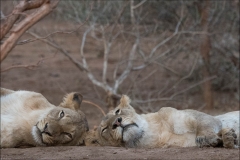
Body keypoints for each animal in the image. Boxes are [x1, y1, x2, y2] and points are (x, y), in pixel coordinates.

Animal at [85, 95, 239, 149]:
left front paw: (210, 136)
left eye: (117, 111)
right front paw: (228, 138)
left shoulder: (198, 116)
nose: (117, 122)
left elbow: (204, 125)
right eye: (104, 129)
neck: (155, 132)